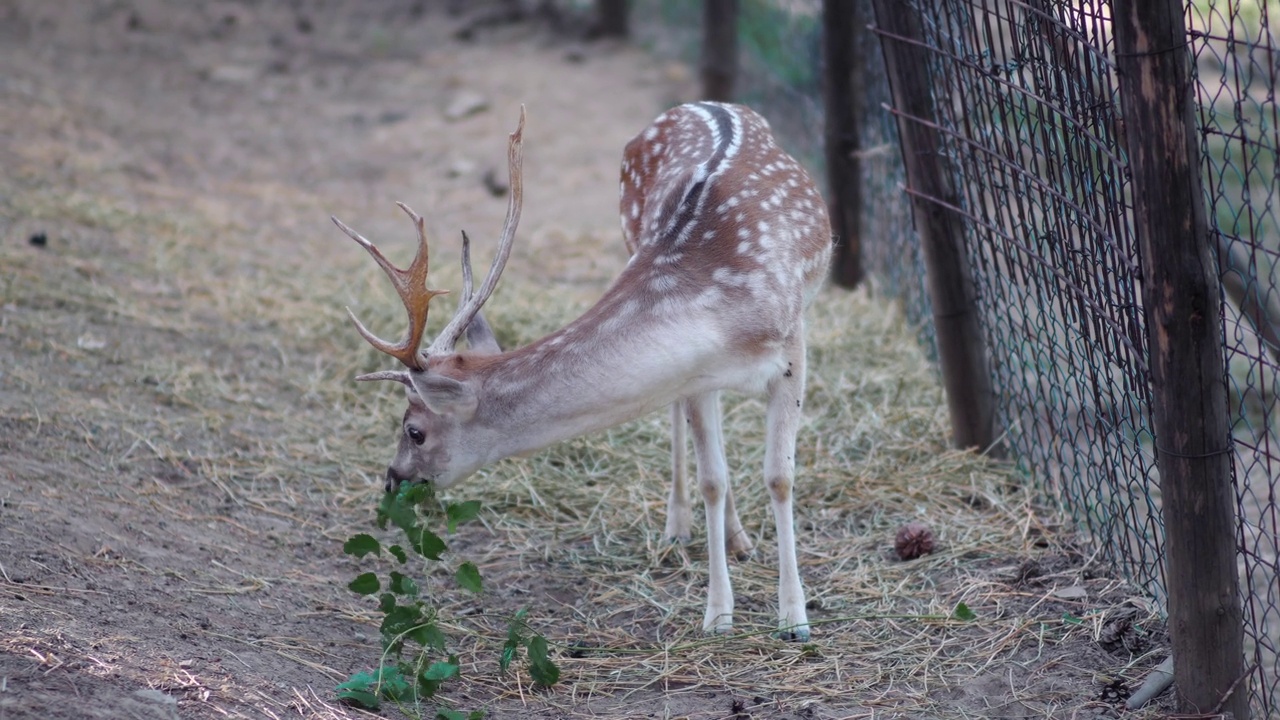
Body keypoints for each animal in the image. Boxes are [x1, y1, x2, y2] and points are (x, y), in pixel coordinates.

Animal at [330, 102, 829, 638]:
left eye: (414, 430)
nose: (391, 479)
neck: (722, 311)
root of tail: (700, 104)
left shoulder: (793, 347)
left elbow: (779, 477)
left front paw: (794, 618)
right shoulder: (698, 374)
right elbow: (712, 480)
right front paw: (717, 615)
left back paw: (739, 542)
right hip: (629, 235)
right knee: (682, 426)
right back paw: (681, 527)